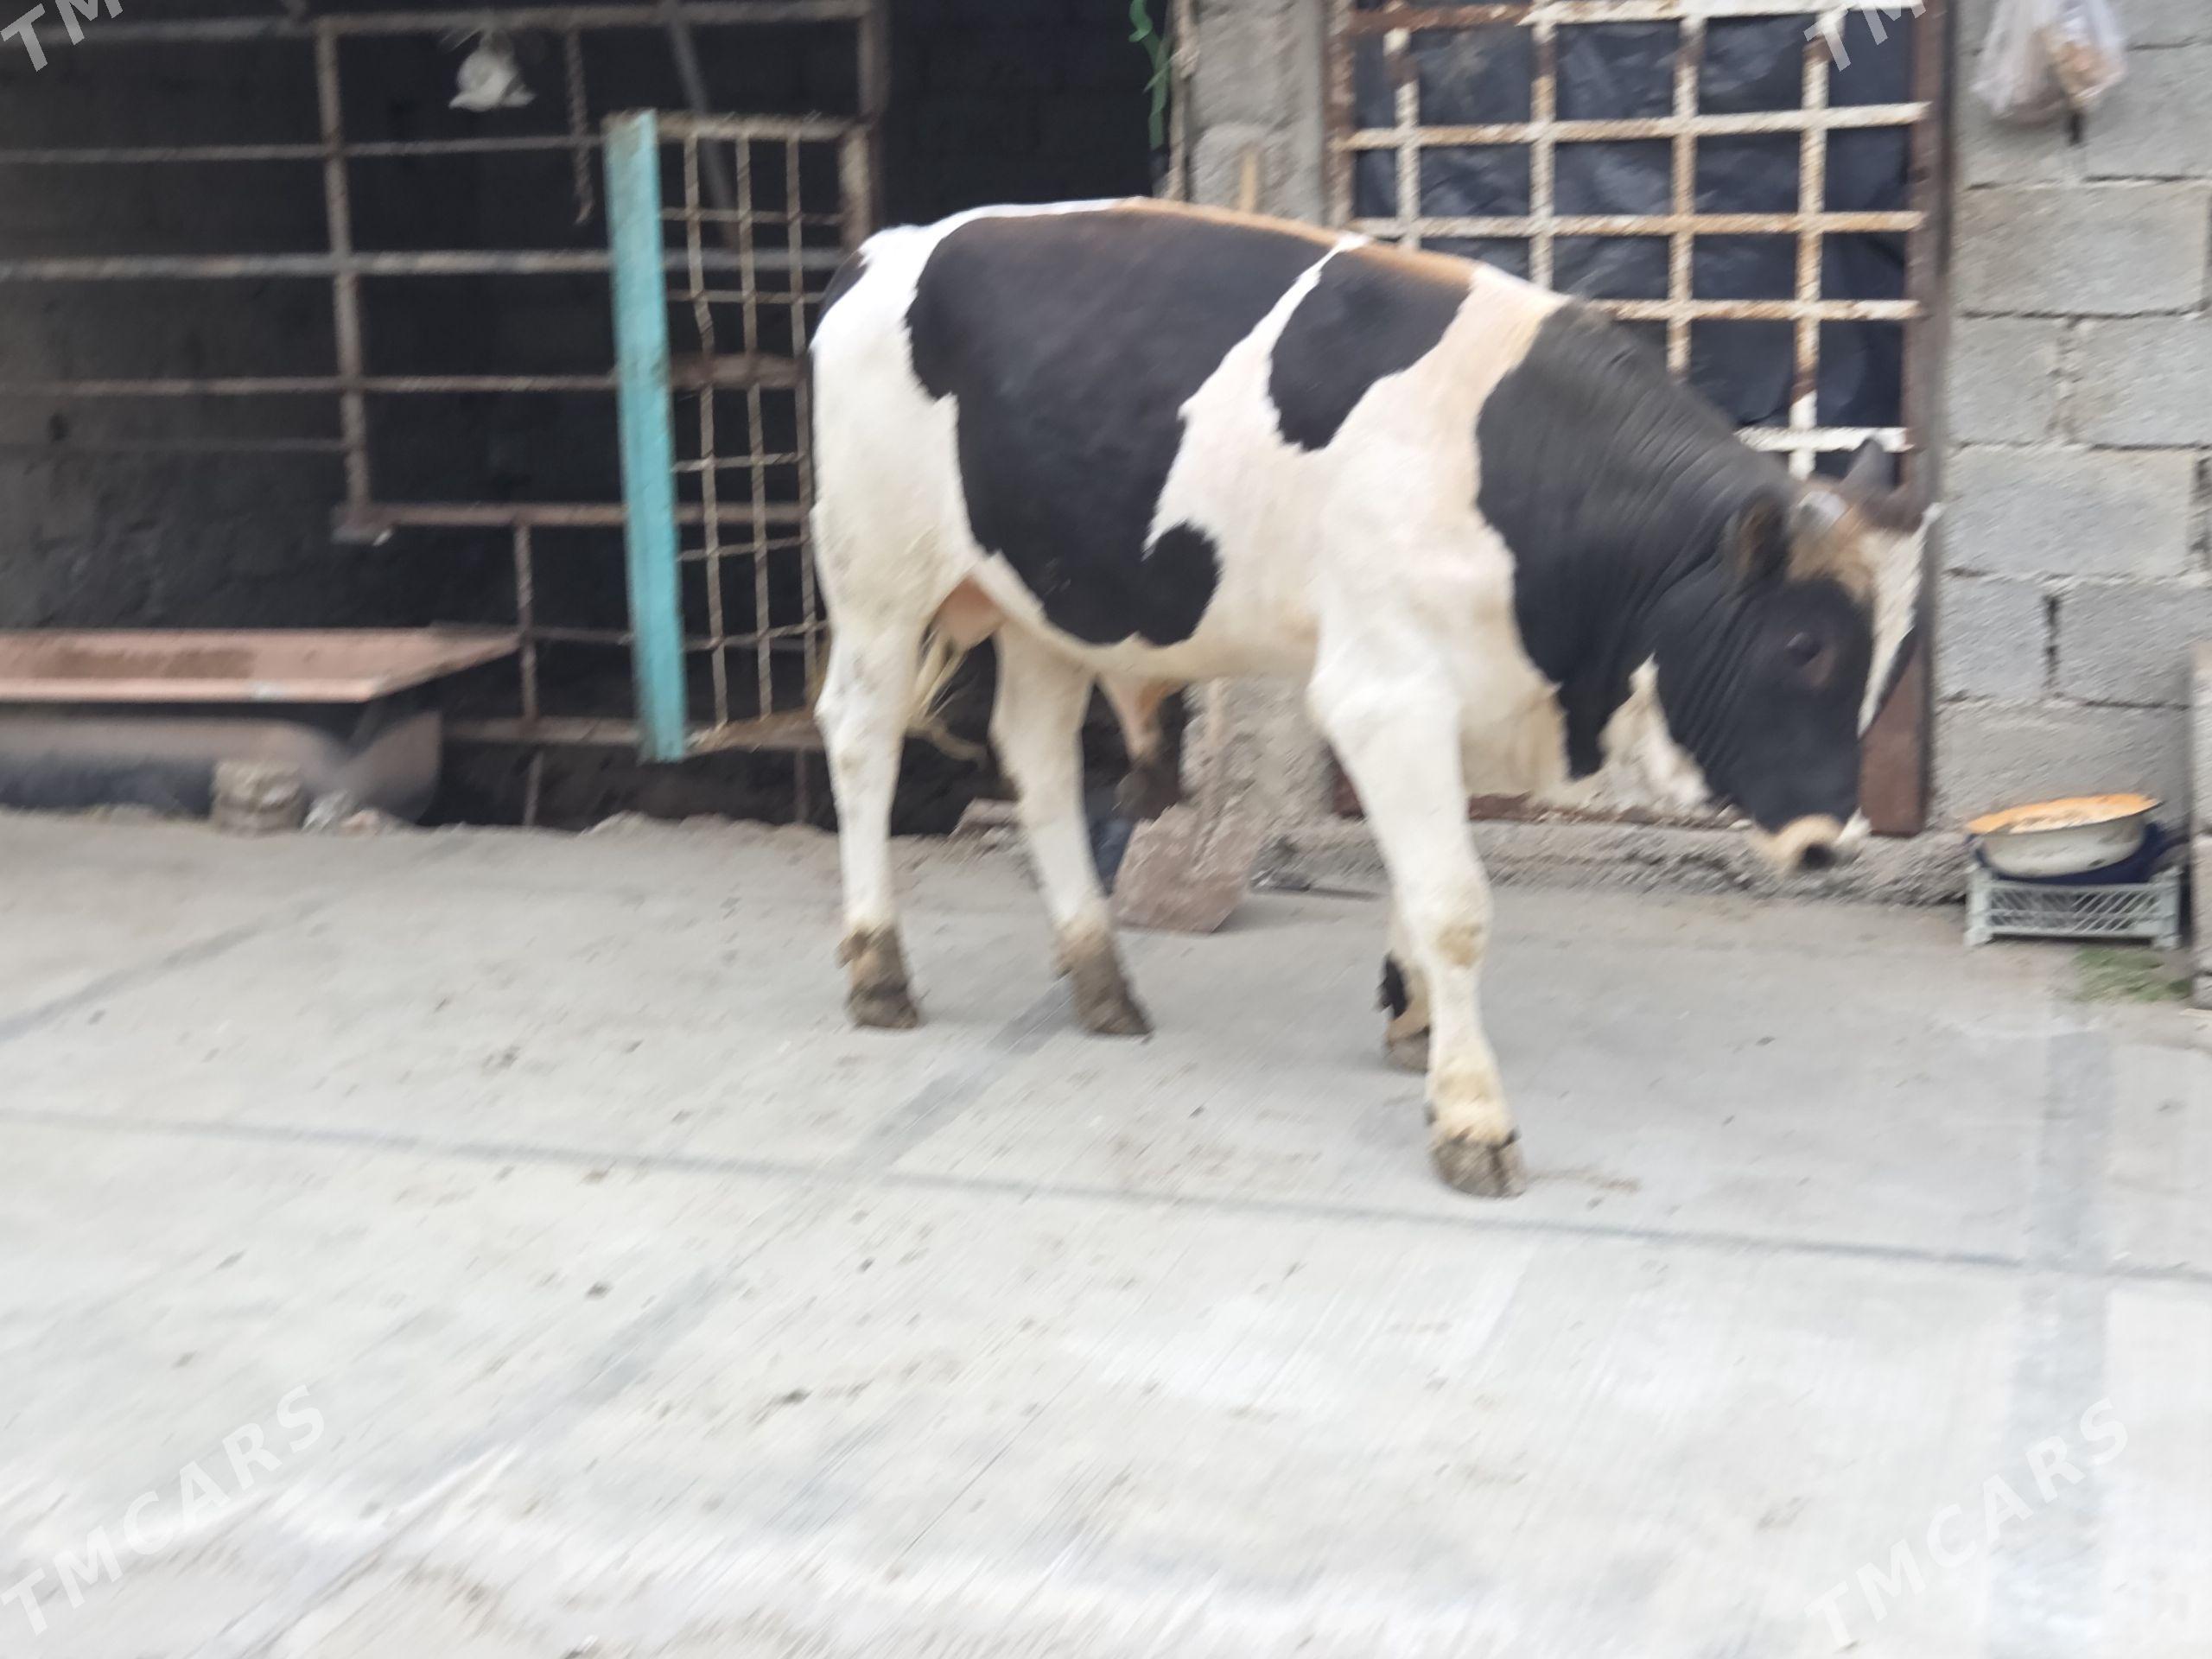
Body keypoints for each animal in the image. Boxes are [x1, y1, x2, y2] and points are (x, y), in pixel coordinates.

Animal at [807, 199, 1925, 1199]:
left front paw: (1413, 1017)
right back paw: (878, 971)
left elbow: (1420, 882)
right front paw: (1471, 1115)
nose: (1828, 842)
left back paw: (1100, 978)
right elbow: (1455, 904)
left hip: (1041, 603)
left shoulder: (1453, 697)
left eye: (1892, 660)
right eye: (1801, 644)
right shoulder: (1383, 692)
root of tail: (885, 249)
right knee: (861, 737)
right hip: (879, 572)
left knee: (1037, 761)